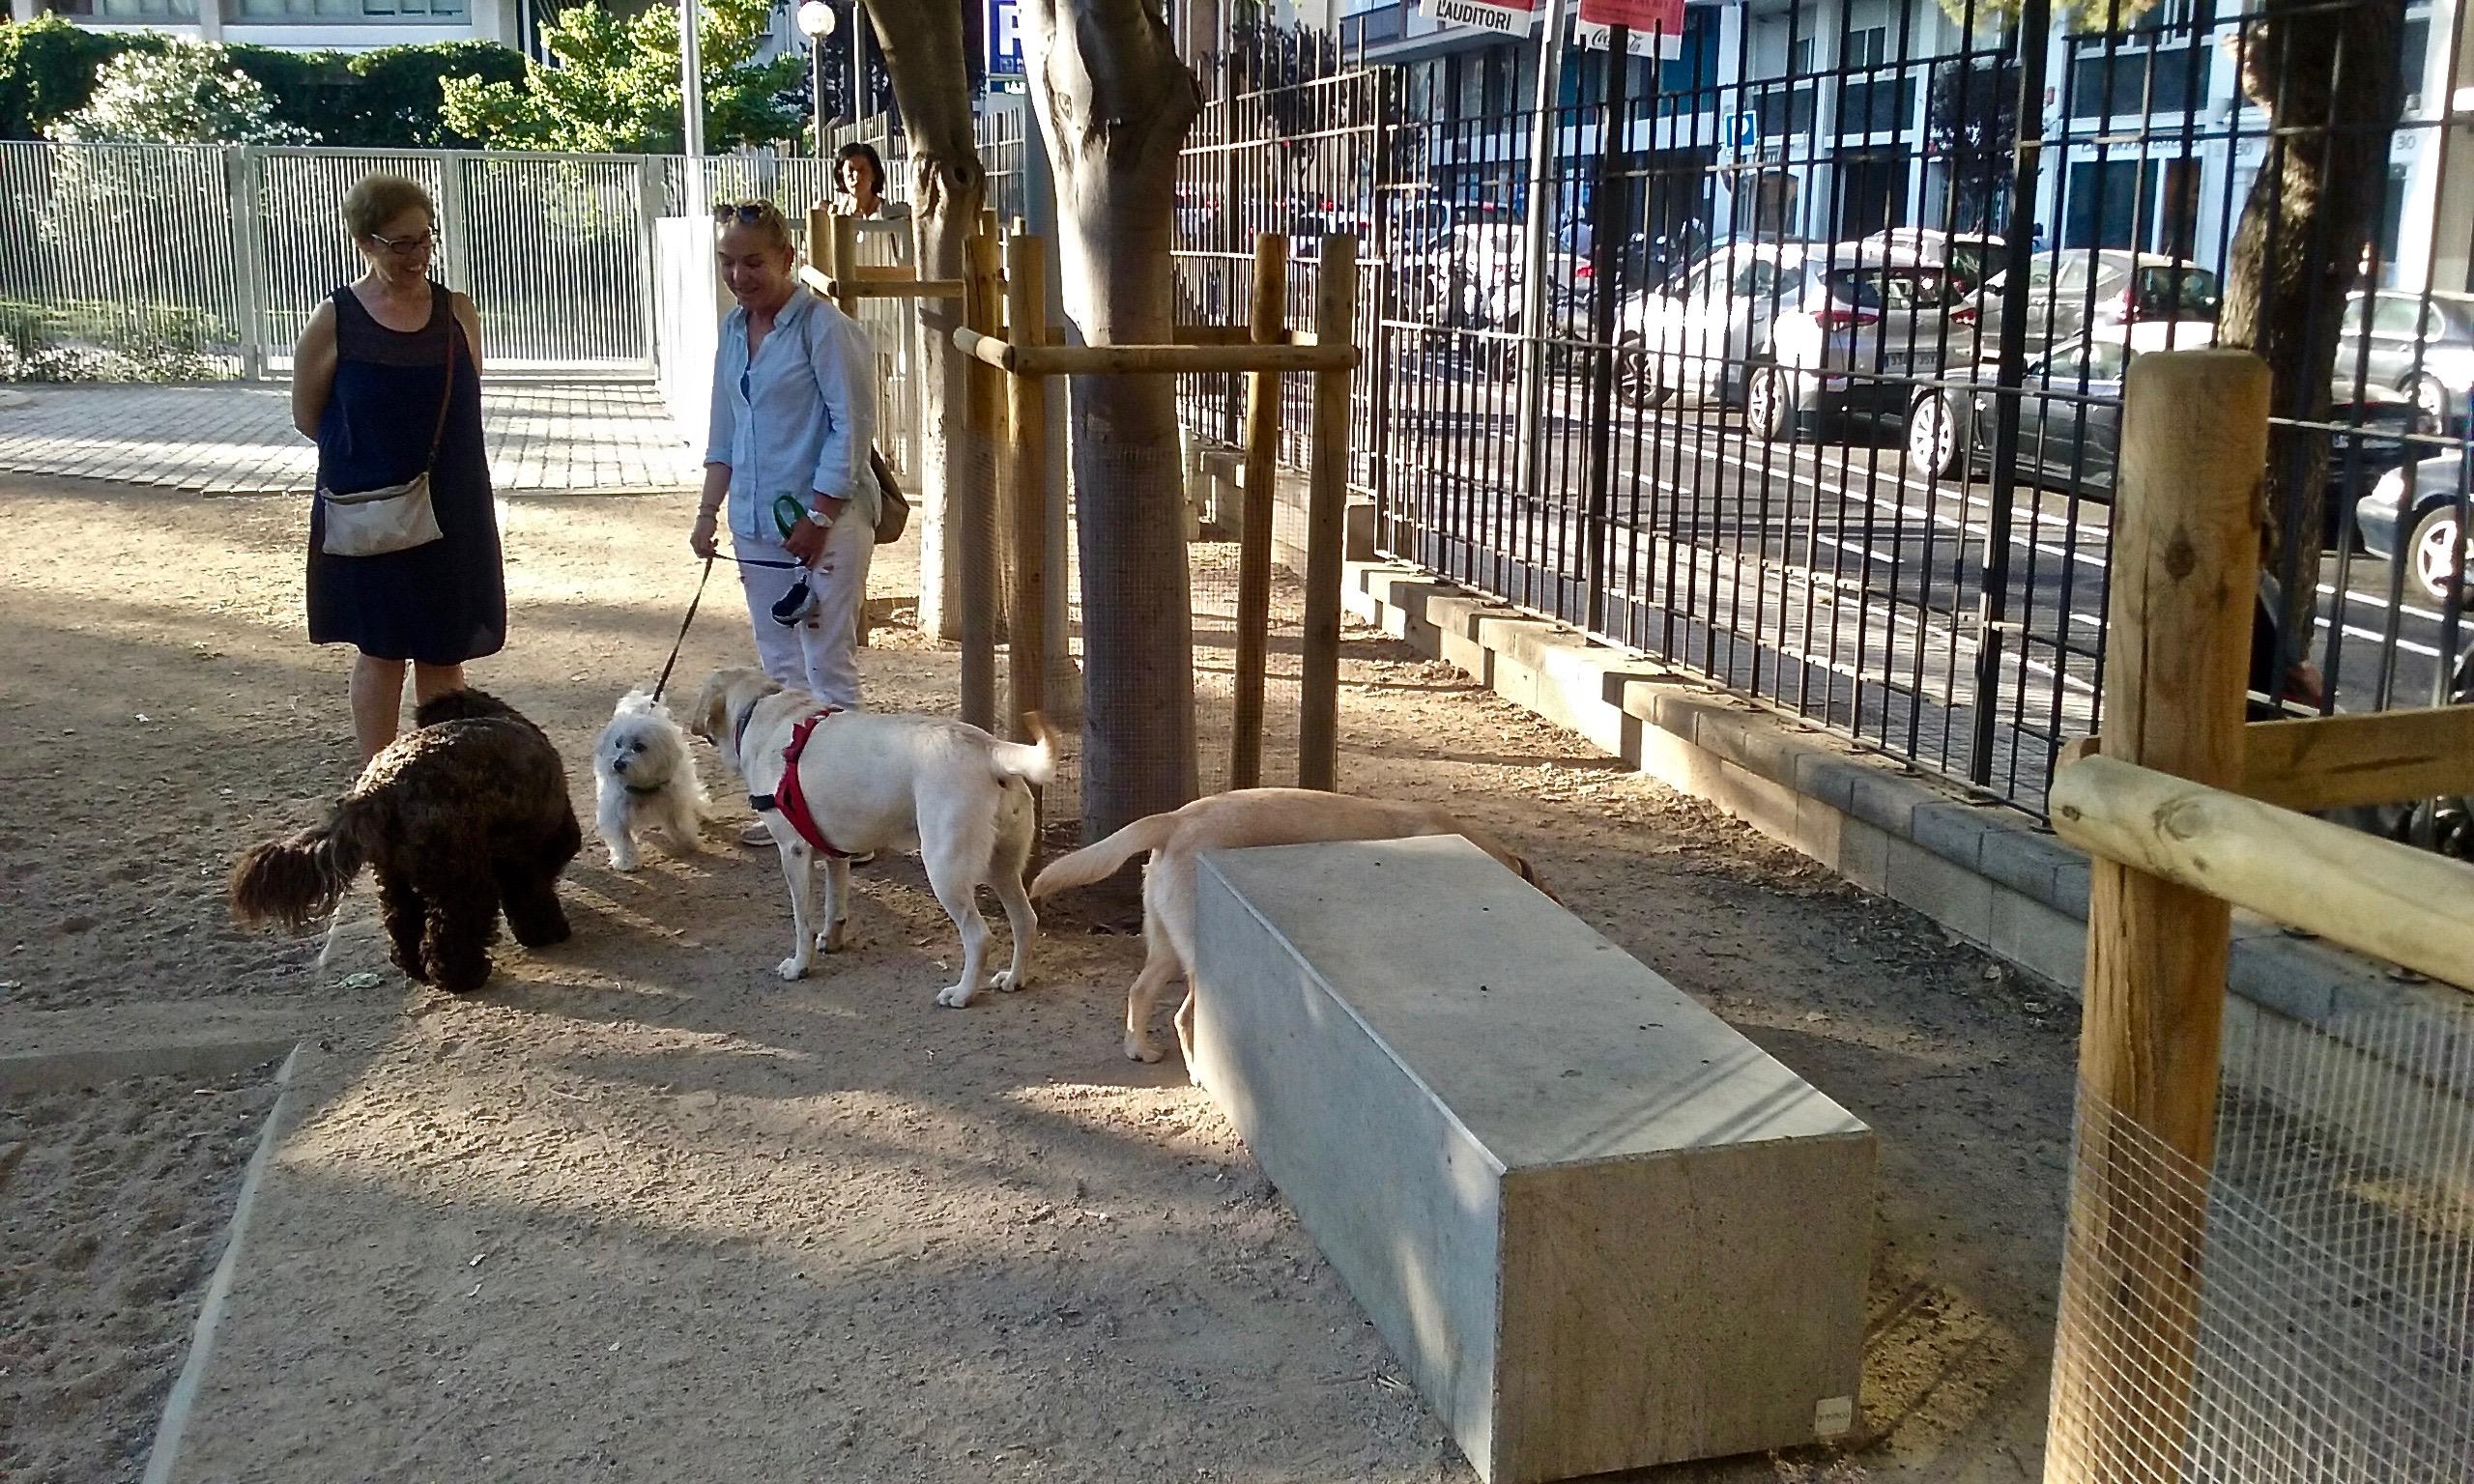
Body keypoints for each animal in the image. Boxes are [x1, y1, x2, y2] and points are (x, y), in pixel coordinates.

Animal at [230, 687, 581, 989]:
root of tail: (380, 789)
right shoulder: (525, 858)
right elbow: (531, 896)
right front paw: (546, 930)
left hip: (394, 876)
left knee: (403, 923)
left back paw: (414, 966)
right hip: (460, 879)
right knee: (451, 929)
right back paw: (464, 975)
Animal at [590, 692, 712, 875]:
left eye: (639, 747)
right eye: (617, 744)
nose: (617, 764)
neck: (641, 785)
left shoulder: (674, 803)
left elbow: (680, 824)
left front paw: (688, 841)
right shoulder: (615, 813)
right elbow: (623, 839)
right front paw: (627, 861)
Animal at [687, 668, 1053, 1004]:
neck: (762, 709)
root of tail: (989, 747)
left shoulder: (793, 852)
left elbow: (802, 921)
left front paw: (799, 966)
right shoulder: (836, 854)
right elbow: (835, 907)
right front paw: (831, 942)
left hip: (945, 869)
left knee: (979, 937)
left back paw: (962, 994)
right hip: (1002, 867)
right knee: (1025, 920)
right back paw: (1014, 979)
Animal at [1028, 786, 1543, 1068]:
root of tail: (1175, 818)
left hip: (1167, 947)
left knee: (1140, 992)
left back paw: (1140, 1049)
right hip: (1200, 955)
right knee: (1186, 1017)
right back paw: (1201, 1077)